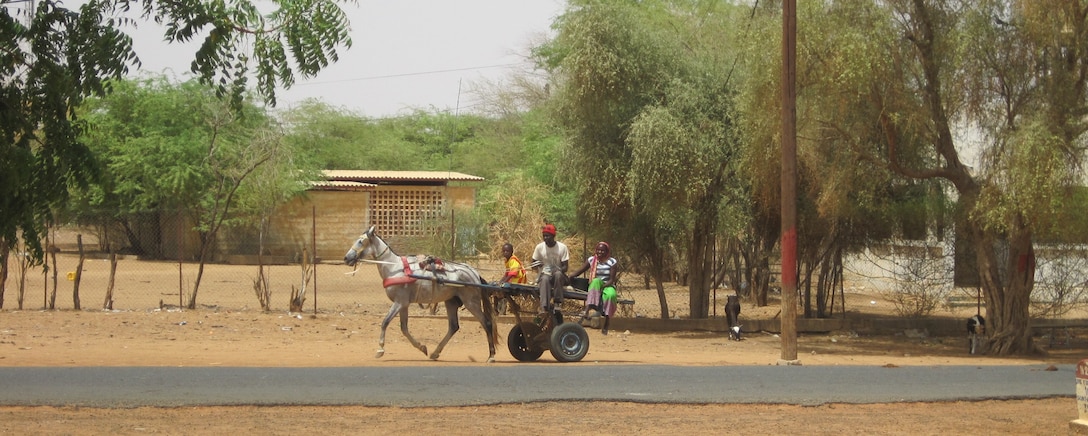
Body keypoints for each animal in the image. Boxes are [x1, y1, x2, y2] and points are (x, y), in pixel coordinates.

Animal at [343, 226, 498, 360]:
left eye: (361, 241)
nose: (346, 258)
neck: (395, 268)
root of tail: (474, 273)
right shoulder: (404, 304)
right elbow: (404, 328)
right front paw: (422, 347)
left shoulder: (399, 302)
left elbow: (385, 322)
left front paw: (380, 349)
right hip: (451, 302)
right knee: (453, 326)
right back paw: (435, 353)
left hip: (471, 302)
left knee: (486, 323)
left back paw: (491, 355)